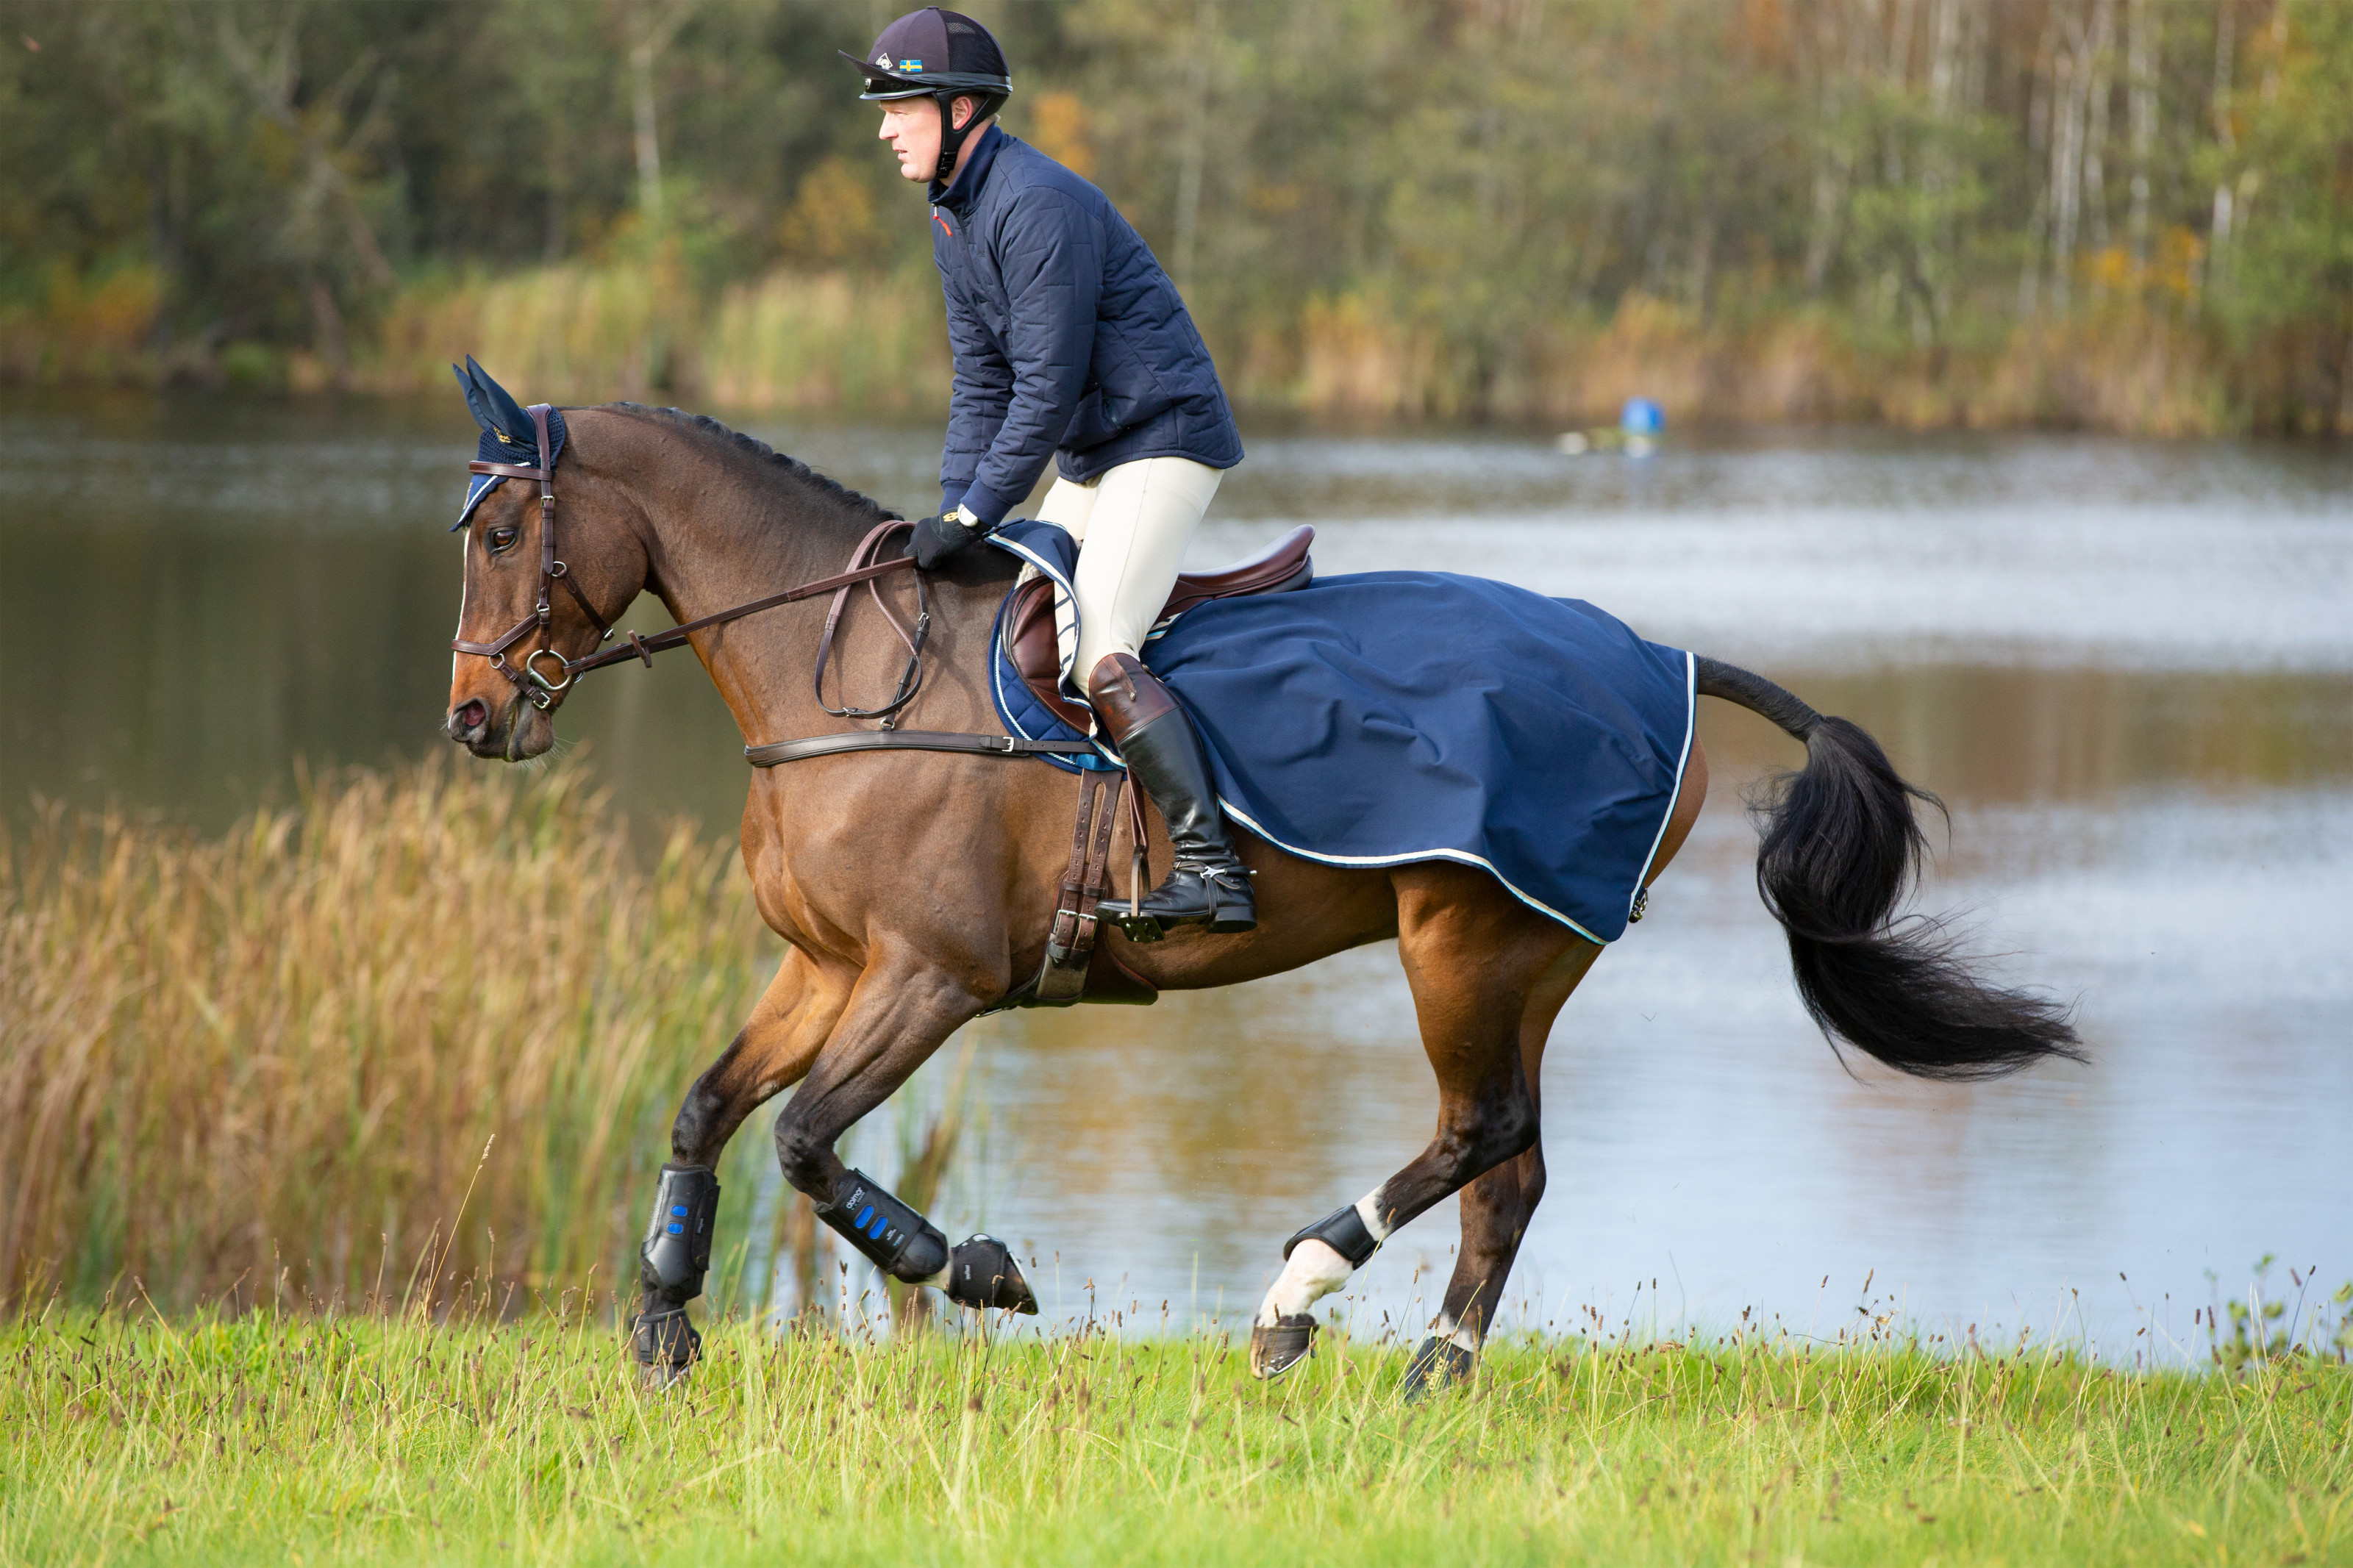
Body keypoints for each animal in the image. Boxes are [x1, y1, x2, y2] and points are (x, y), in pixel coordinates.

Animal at [442, 399, 2079, 1392]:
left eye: (507, 533)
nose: (472, 718)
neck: (846, 678)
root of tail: (1661, 656)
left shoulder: (929, 980)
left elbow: (803, 1141)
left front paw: (971, 1267)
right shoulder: (825, 968)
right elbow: (708, 1107)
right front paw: (664, 1314)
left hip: (1465, 944)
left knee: (1479, 1132)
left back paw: (1296, 1294)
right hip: (1525, 963)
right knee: (1512, 1166)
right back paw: (1435, 1369)